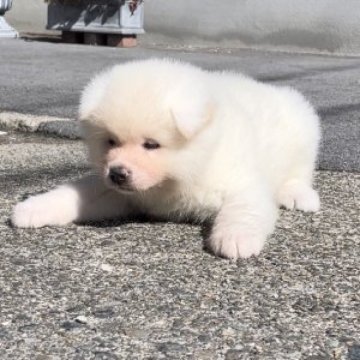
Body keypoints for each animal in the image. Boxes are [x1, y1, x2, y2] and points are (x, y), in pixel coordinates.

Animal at [11, 58, 320, 258]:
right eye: (111, 141)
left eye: (151, 144)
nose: (117, 173)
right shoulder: (120, 193)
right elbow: (76, 193)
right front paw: (32, 208)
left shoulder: (239, 180)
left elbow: (245, 208)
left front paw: (236, 238)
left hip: (304, 132)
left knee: (300, 172)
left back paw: (299, 195)